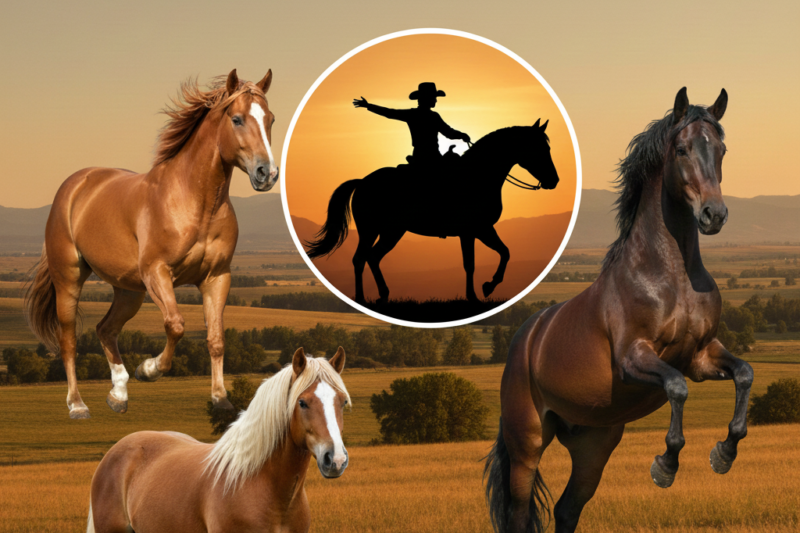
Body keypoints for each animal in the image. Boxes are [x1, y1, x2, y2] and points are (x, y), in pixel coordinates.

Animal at [23, 69, 279, 419]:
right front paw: (149, 369)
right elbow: (176, 324)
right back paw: (77, 405)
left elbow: (215, 339)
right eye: (237, 119)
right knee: (69, 340)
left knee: (106, 329)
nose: (267, 173)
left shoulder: (216, 277)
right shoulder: (157, 272)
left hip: (129, 290)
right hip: (70, 280)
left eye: (270, 119)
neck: (196, 203)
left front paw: (220, 400)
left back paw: (118, 395)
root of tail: (75, 185)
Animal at [305, 120, 560, 305]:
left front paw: (485, 288)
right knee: (361, 258)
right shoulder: (474, 231)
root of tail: (363, 182)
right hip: (372, 230)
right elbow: (474, 262)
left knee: (372, 257)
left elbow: (502, 253)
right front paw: (479, 293)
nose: (554, 180)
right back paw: (362, 298)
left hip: (391, 232)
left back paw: (383, 295)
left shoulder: (482, 229)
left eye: (548, 147)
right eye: (539, 148)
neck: (477, 176)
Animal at [484, 88, 753, 533]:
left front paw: (724, 453)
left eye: (722, 149)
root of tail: (526, 338)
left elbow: (744, 373)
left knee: (567, 509)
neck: (671, 276)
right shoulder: (633, 358)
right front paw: (665, 466)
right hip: (527, 444)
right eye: (682, 149)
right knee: (520, 517)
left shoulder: (701, 356)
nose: (713, 215)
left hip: (594, 445)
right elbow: (676, 387)